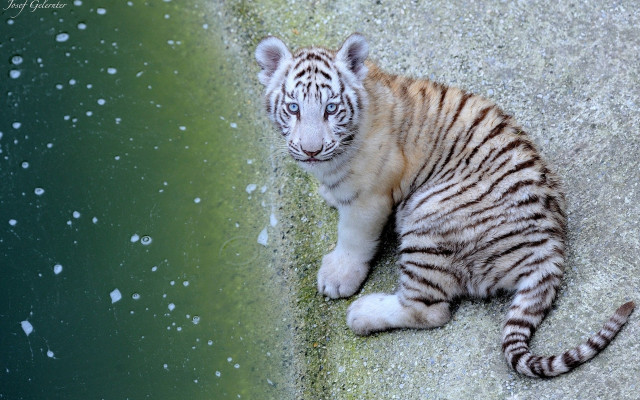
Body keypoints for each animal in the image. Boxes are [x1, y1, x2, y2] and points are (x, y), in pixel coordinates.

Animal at [254, 33, 634, 378]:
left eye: (331, 108)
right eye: (293, 108)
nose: (311, 150)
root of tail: (551, 248)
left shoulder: (370, 195)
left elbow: (353, 237)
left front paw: (338, 276)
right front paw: (328, 193)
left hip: (427, 221)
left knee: (430, 310)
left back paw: (362, 313)